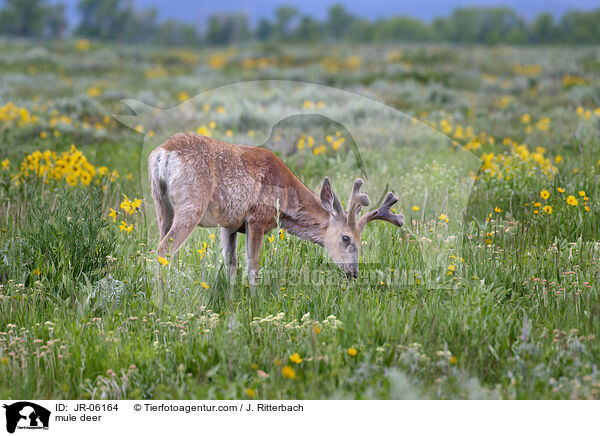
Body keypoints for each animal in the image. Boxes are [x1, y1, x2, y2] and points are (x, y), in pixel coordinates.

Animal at [148, 132, 406, 282]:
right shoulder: (257, 218)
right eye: (346, 238)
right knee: (164, 248)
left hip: (162, 205)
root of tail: (163, 153)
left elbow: (231, 265)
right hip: (191, 204)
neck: (285, 204)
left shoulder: (229, 225)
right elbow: (253, 266)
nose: (353, 273)